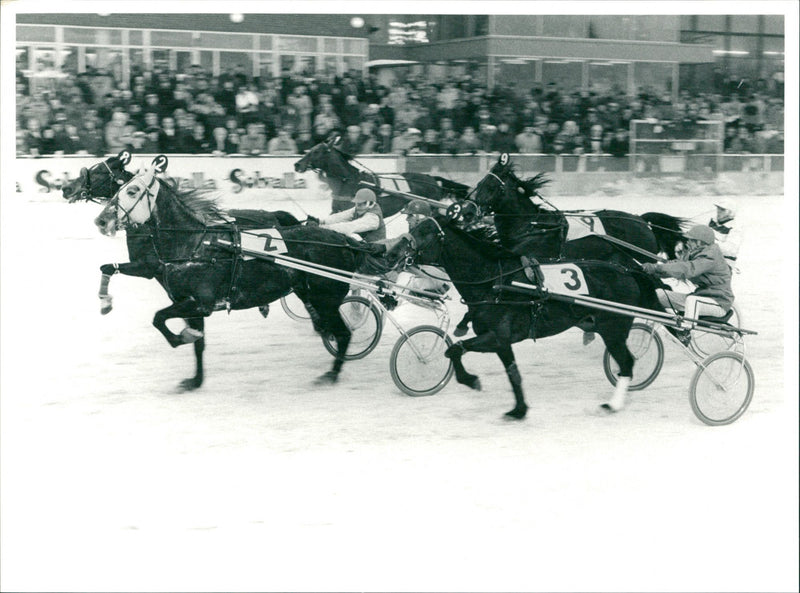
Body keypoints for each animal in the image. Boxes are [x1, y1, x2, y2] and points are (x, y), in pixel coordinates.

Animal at [93, 155, 378, 390]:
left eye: (132, 190)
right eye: (119, 188)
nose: (101, 220)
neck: (196, 244)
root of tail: (346, 241)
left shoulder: (200, 303)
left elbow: (158, 318)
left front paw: (179, 338)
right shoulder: (185, 300)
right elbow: (197, 343)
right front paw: (195, 379)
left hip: (326, 297)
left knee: (343, 333)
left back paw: (332, 373)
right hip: (309, 293)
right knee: (334, 328)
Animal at [292, 136, 468, 215]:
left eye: (316, 151)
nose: (297, 164)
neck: (350, 182)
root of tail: (431, 179)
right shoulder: (337, 211)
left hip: (430, 207)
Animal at [392, 215, 664, 418]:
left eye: (424, 232)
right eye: (413, 228)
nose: (392, 251)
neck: (496, 282)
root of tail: (627, 269)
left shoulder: (497, 336)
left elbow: (455, 349)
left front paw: (471, 380)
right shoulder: (501, 342)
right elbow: (511, 372)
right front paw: (519, 410)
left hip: (613, 328)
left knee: (627, 363)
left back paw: (614, 404)